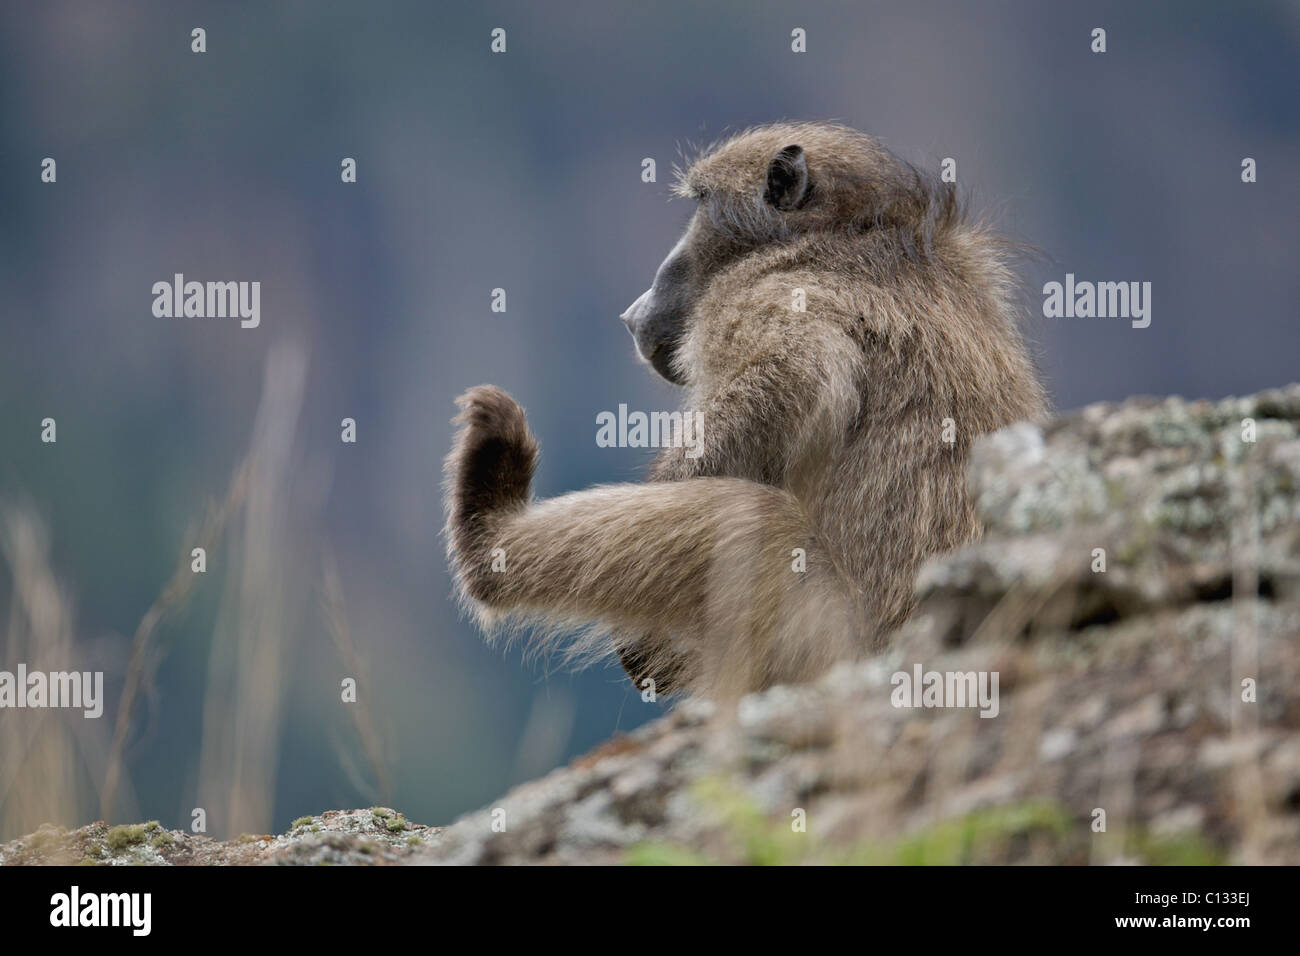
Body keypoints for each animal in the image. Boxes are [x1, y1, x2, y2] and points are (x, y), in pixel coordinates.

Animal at [444, 122, 1048, 699]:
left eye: (701, 204)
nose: (635, 311)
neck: (858, 231)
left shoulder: (756, 292)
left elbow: (801, 370)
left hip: (820, 642)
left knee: (746, 512)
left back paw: (488, 534)